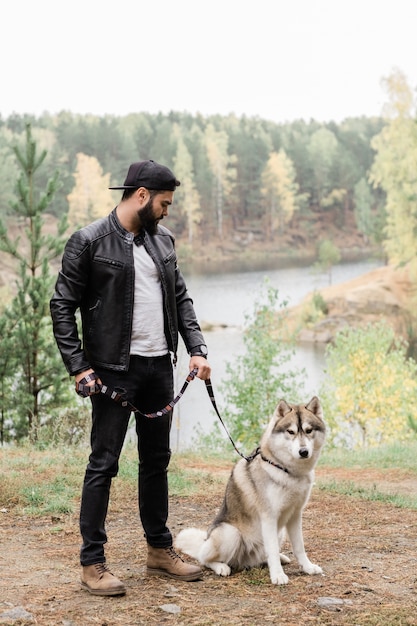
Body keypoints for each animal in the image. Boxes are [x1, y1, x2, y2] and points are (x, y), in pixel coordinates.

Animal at [175, 398, 324, 584]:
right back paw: (221, 567)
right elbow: (272, 550)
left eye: (309, 430)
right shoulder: (269, 517)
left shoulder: (295, 515)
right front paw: (278, 575)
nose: (303, 452)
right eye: (291, 432)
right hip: (230, 534)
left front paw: (308, 567)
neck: (286, 470)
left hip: (279, 532)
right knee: (205, 559)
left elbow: (299, 547)